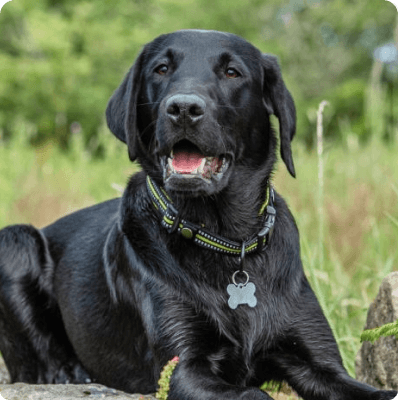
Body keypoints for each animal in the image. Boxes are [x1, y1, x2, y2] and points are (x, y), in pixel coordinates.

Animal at [0, 30, 398, 400]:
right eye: (161, 69)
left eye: (232, 72)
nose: (183, 108)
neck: (225, 239)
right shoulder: (182, 368)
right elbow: (254, 393)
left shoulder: (318, 362)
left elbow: (372, 390)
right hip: (16, 240)